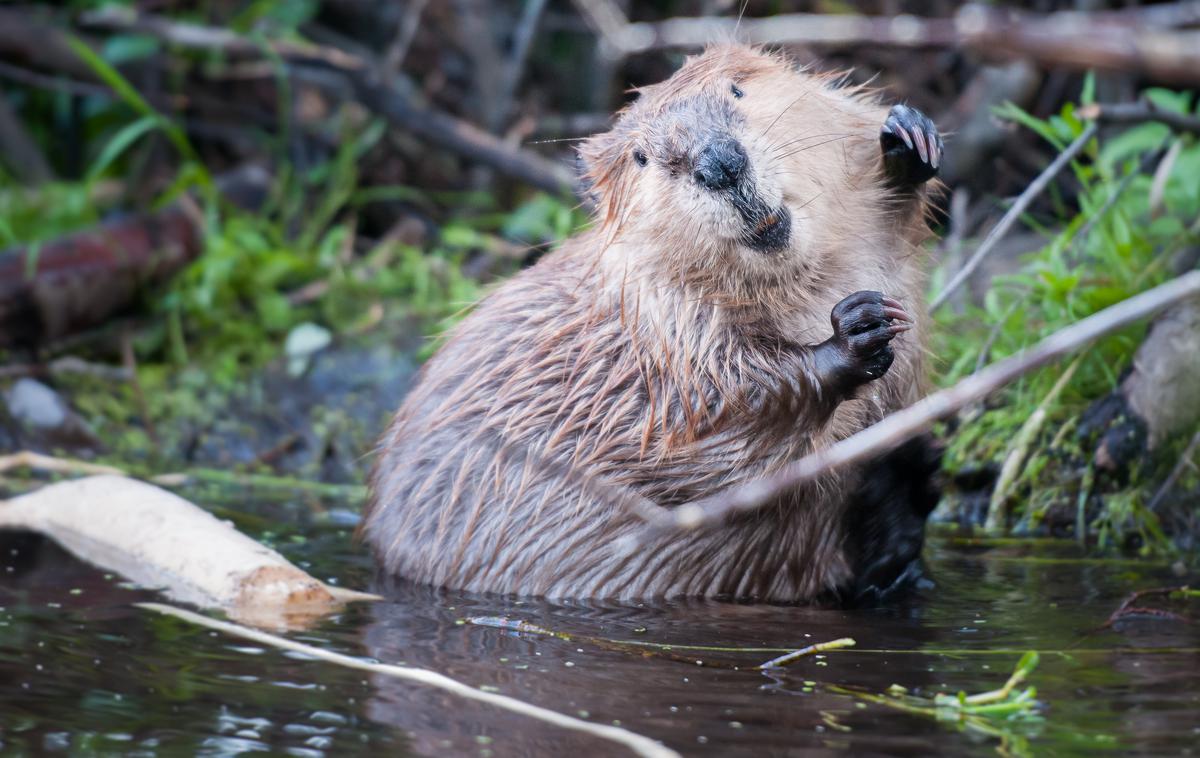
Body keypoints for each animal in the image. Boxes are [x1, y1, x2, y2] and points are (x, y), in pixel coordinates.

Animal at [360, 45, 940, 604]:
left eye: (737, 88)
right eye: (641, 157)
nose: (719, 163)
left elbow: (892, 227)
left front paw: (907, 140)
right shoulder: (661, 333)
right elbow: (714, 434)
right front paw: (855, 331)